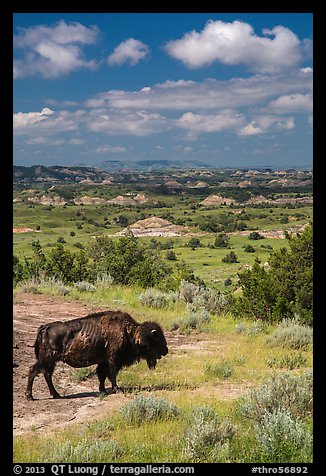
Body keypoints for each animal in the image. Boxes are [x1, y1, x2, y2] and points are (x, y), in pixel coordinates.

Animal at [25, 310, 168, 400]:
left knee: (46, 374)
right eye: (157, 338)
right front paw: (117, 389)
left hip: (51, 361)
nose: (166, 350)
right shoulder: (112, 360)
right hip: (47, 359)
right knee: (34, 370)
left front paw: (103, 390)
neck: (129, 332)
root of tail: (45, 327)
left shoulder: (103, 362)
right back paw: (30, 396)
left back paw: (55, 395)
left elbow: (102, 376)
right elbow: (112, 374)